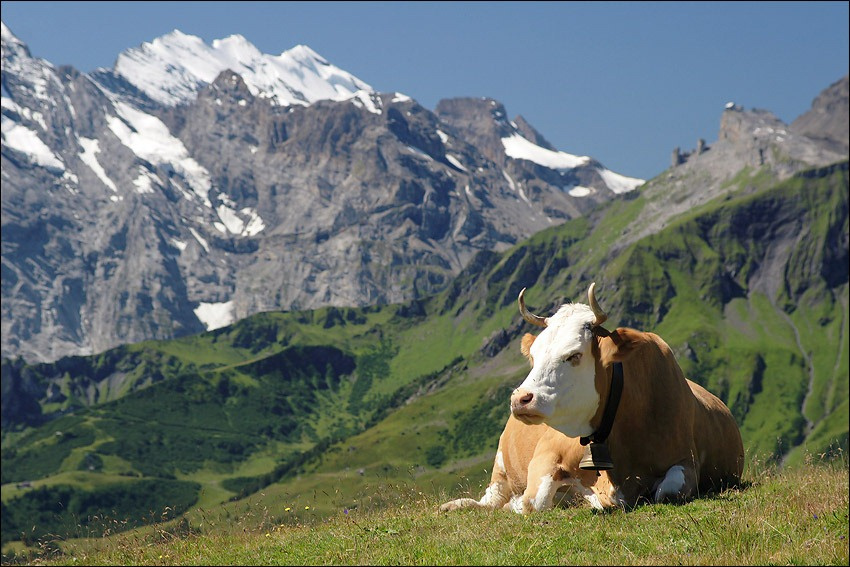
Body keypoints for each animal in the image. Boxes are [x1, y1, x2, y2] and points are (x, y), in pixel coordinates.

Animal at [510, 282, 745, 509]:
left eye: (574, 355)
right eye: (533, 356)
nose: (520, 399)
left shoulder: (687, 460)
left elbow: (667, 492)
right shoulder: (548, 452)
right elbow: (534, 502)